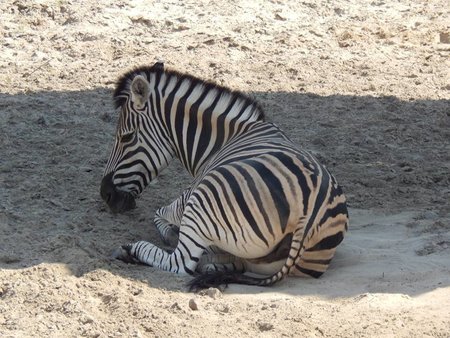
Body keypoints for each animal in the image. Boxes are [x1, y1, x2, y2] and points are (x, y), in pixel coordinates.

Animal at [100, 62, 350, 290]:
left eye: (127, 137)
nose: (105, 194)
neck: (225, 139)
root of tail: (306, 215)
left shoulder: (188, 195)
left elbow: (159, 214)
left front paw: (171, 233)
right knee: (233, 264)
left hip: (202, 200)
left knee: (179, 263)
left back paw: (130, 250)